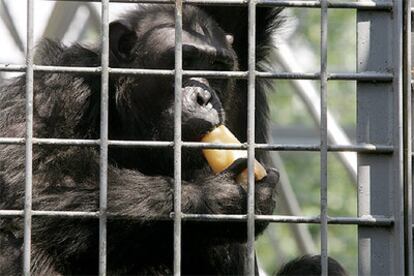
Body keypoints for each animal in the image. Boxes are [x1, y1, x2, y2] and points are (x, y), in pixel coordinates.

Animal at [0, 4, 282, 276]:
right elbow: (36, 175)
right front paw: (216, 197)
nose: (205, 96)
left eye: (217, 67)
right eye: (186, 60)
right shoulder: (59, 86)